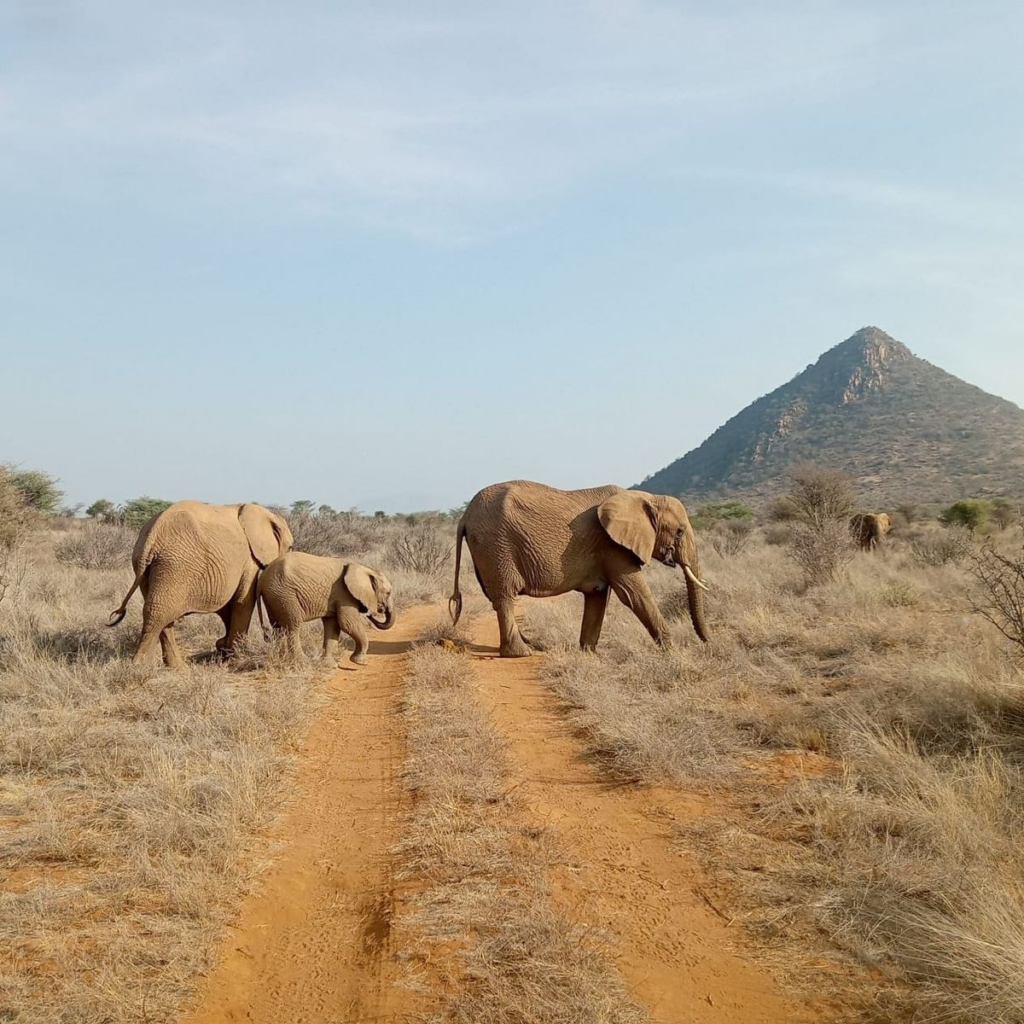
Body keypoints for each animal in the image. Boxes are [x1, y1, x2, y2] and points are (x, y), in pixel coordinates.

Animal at [109, 501, 293, 668]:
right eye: (291, 547)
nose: (268, 637)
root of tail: (152, 535)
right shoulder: (249, 559)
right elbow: (243, 601)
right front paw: (235, 659)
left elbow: (227, 605)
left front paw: (223, 649)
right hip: (176, 565)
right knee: (158, 613)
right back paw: (140, 668)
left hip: (148, 569)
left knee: (160, 611)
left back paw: (177, 667)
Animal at [257, 552, 395, 665]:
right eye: (388, 593)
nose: (371, 614)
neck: (363, 568)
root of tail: (262, 578)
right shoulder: (345, 596)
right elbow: (348, 624)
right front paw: (360, 662)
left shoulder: (335, 598)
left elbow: (333, 626)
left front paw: (329, 665)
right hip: (284, 595)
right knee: (292, 626)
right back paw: (302, 661)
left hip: (274, 596)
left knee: (277, 627)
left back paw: (283, 659)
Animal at [449, 480, 709, 657]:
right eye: (680, 532)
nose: (707, 643)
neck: (646, 498)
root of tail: (465, 516)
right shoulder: (613, 546)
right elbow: (633, 594)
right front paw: (674, 653)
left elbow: (598, 595)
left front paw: (589, 653)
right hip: (496, 545)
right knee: (505, 596)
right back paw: (521, 653)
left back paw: (529, 645)